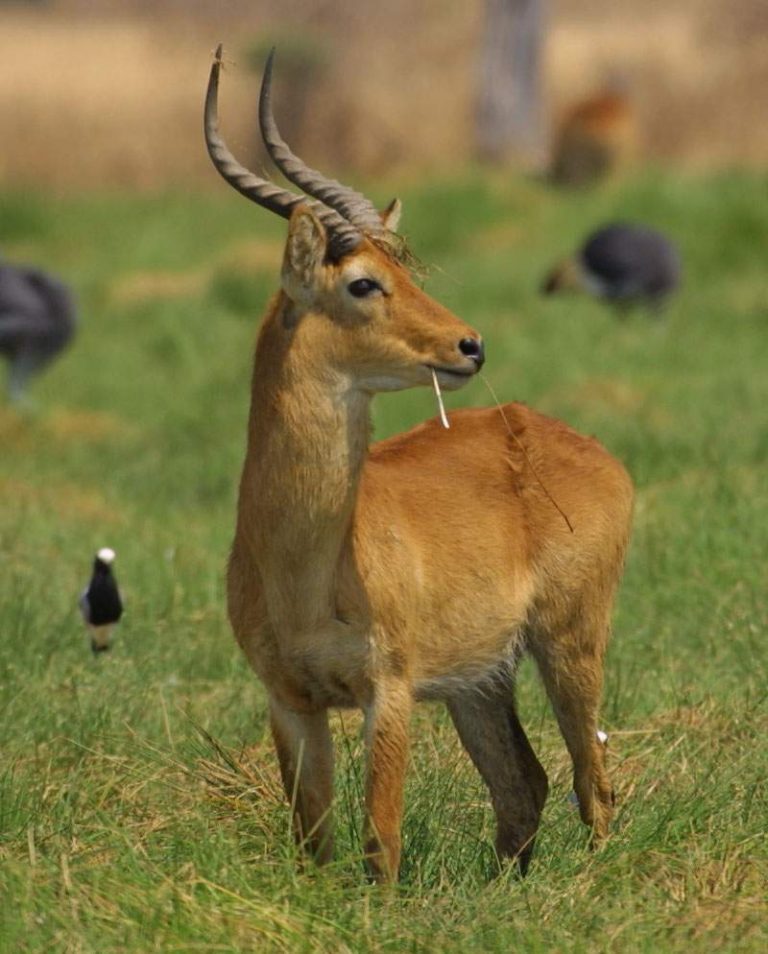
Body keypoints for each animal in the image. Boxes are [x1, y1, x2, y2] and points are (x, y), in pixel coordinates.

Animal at [202, 42, 632, 876]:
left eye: (407, 272)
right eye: (363, 282)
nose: (469, 344)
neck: (304, 563)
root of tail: (568, 438)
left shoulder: (389, 691)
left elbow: (382, 840)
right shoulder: (290, 700)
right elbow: (313, 842)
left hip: (568, 641)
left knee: (591, 781)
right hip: (480, 679)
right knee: (524, 784)